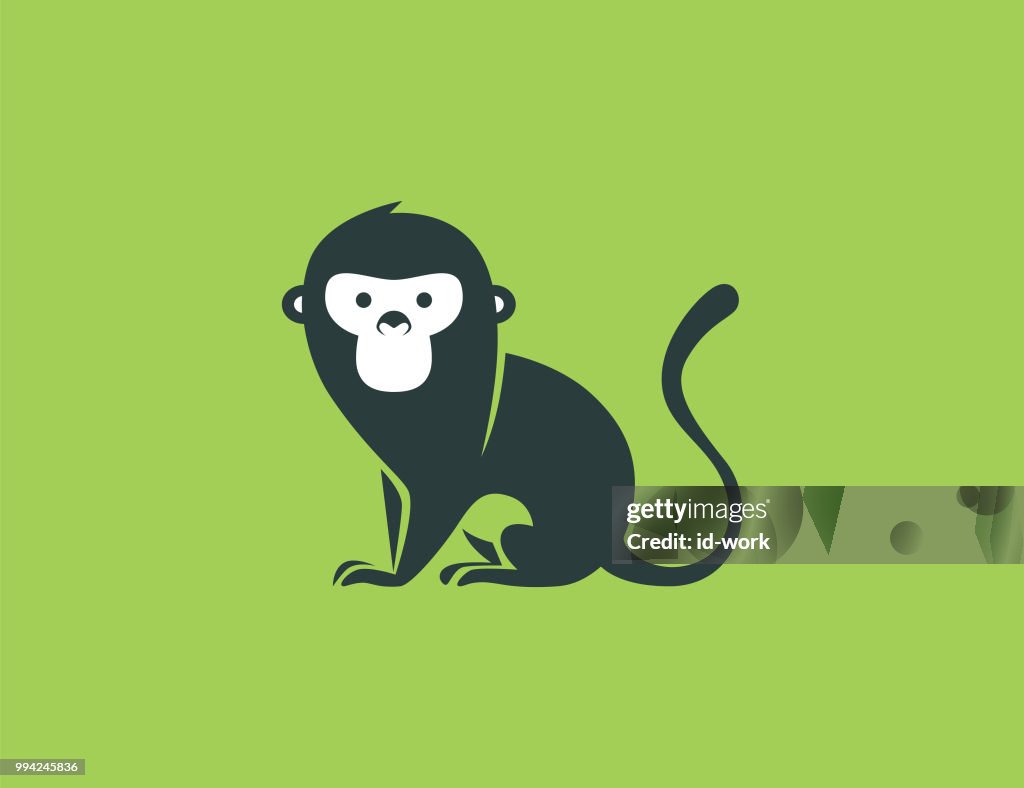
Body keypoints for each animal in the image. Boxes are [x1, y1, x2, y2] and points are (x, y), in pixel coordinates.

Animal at [282, 202, 741, 587]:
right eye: (362, 300)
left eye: (425, 300)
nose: (393, 322)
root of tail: (609, 547)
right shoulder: (393, 475)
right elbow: (397, 507)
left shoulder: (452, 465)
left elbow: (439, 503)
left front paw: (394, 579)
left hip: (537, 531)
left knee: (538, 556)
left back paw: (494, 573)